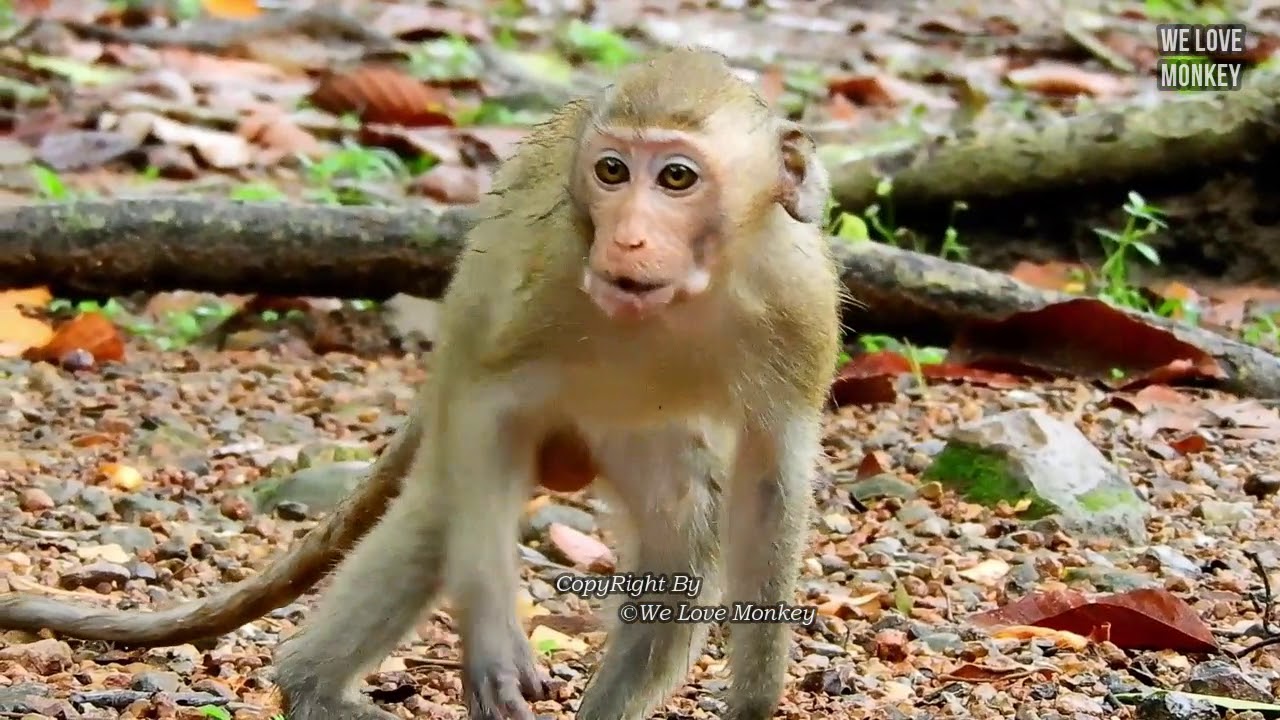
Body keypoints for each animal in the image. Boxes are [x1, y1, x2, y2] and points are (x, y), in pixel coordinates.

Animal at [0, 47, 842, 720]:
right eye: (612, 171)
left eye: (676, 178)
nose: (628, 237)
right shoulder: (549, 283)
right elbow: (488, 404)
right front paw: (496, 645)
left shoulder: (799, 309)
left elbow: (769, 482)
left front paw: (756, 699)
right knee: (444, 505)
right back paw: (311, 687)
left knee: (681, 547)